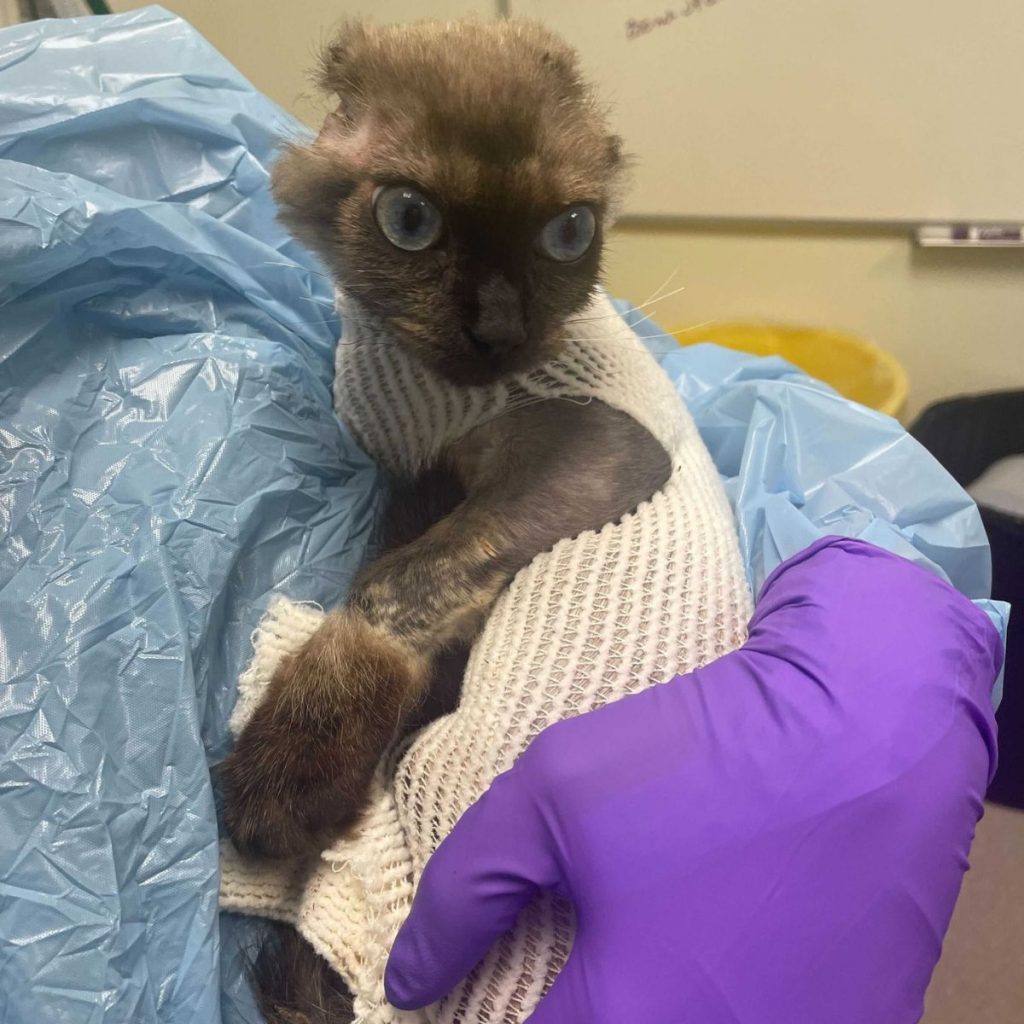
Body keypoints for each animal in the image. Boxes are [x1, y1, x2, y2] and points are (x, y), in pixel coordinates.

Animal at [222, 19, 671, 1019]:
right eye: (411, 221)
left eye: (569, 232)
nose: (500, 330)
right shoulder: (411, 474)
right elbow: (388, 547)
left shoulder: (599, 452)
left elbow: (392, 582)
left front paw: (288, 773)